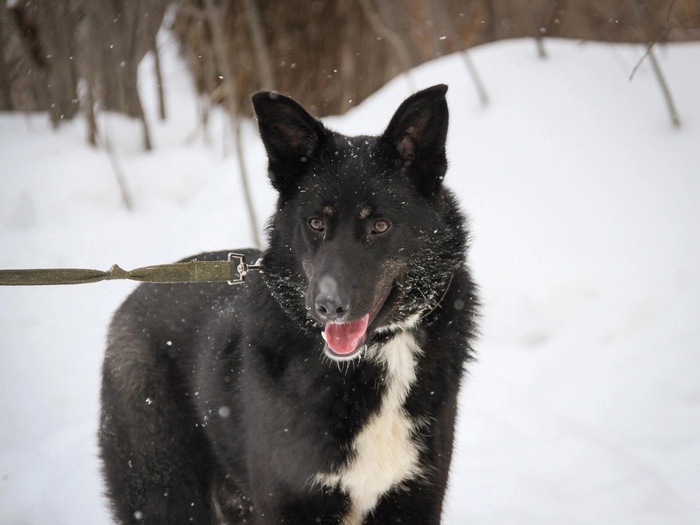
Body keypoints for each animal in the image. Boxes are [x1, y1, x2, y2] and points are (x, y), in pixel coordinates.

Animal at [99, 84, 478, 524]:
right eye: (316, 223)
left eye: (380, 225)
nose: (328, 306)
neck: (376, 355)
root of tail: (133, 295)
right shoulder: (290, 501)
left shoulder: (414, 499)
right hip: (166, 496)